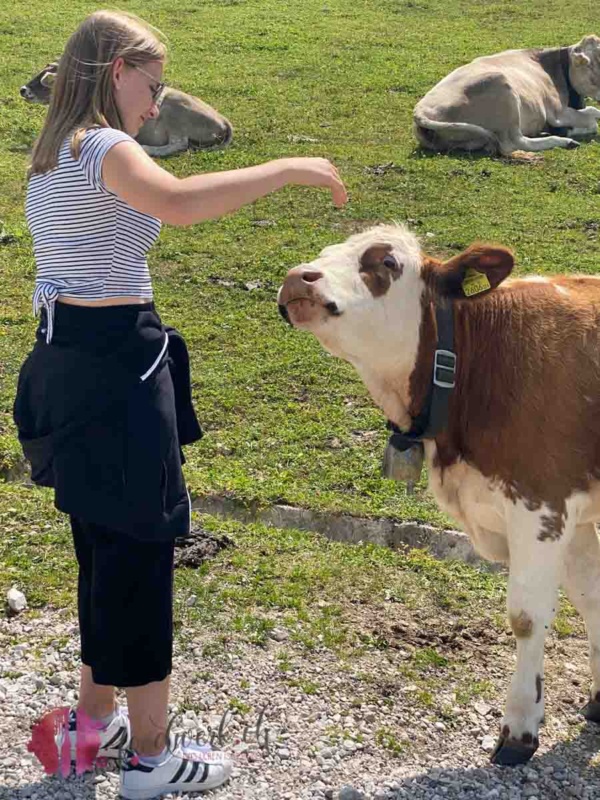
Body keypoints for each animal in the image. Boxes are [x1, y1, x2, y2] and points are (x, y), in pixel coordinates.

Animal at [21, 60, 232, 156]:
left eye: (47, 80)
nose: (23, 89)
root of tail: (223, 120)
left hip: (174, 115)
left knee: (178, 144)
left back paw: (146, 148)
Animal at [278, 223, 600, 764]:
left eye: (386, 262)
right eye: (325, 252)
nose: (297, 278)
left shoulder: (542, 502)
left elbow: (527, 616)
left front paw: (520, 730)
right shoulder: (574, 509)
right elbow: (592, 598)